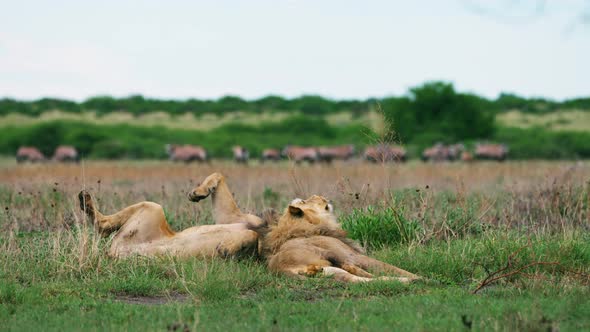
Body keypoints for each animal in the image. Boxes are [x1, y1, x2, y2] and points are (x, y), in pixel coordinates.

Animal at [252, 195, 424, 282]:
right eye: (305, 201)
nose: (320, 196)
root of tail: (282, 271)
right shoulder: (355, 255)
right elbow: (393, 267)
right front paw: (418, 275)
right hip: (332, 254)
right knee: (366, 275)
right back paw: (417, 280)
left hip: (331, 271)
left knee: (359, 279)